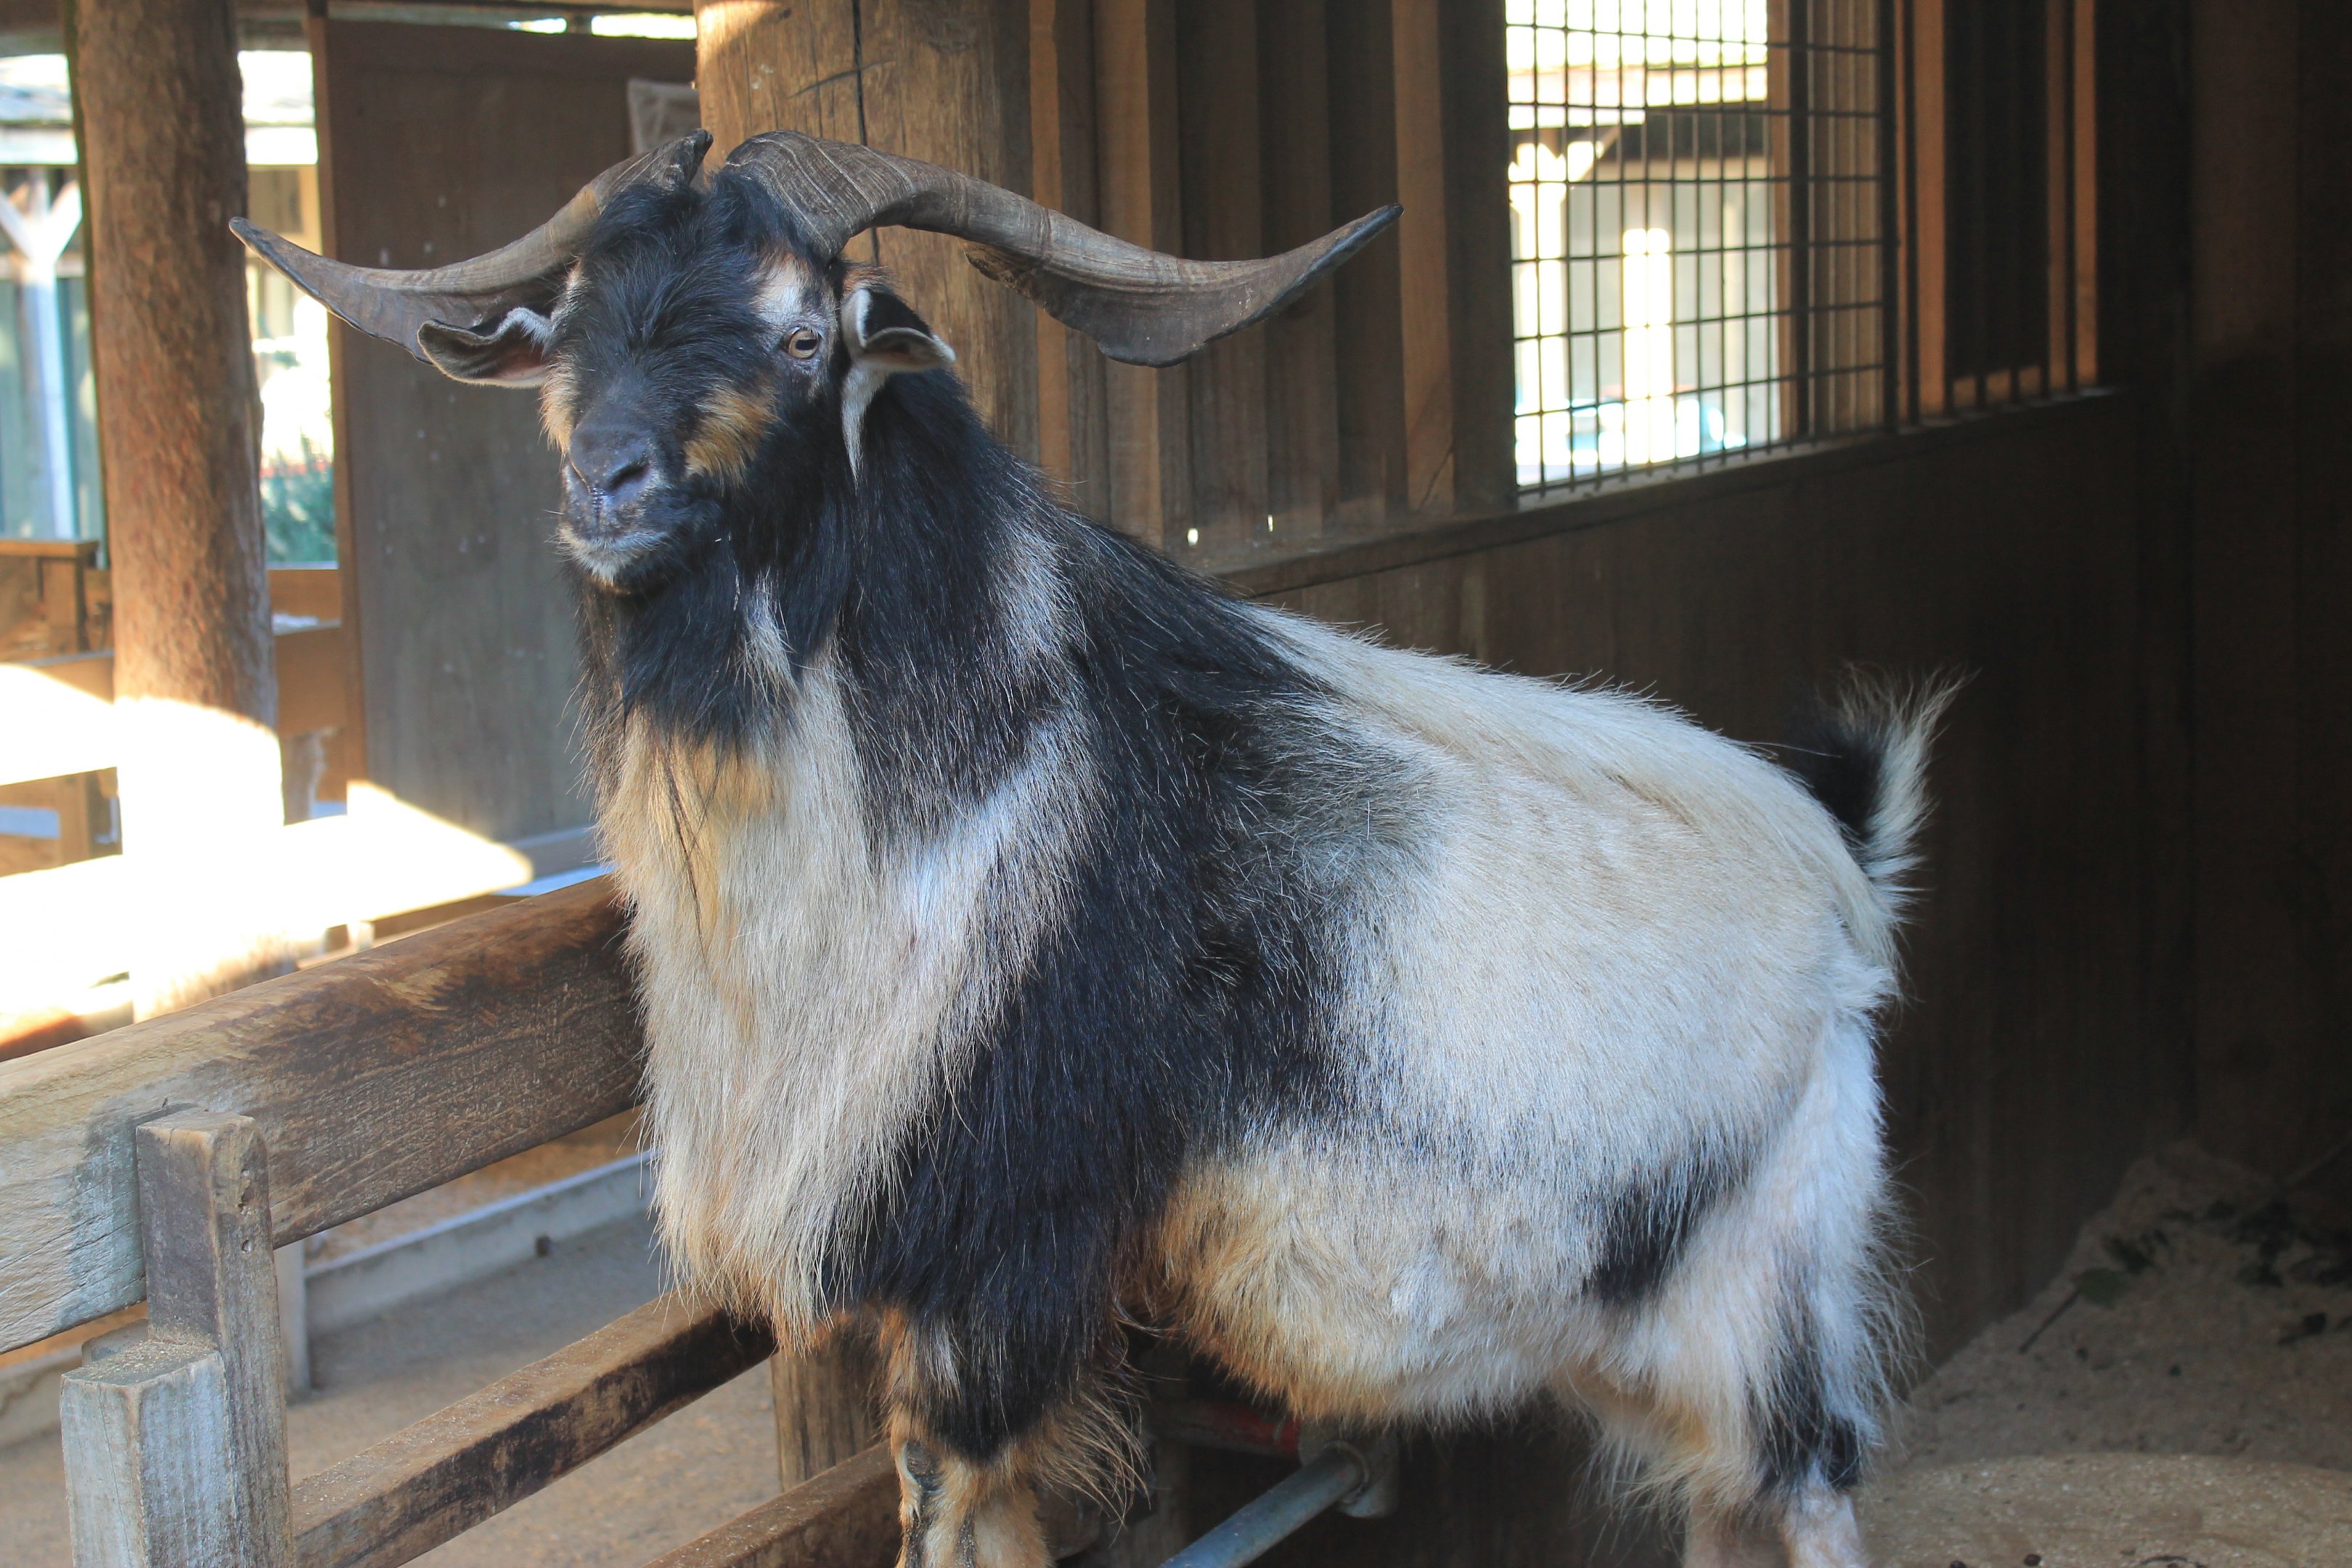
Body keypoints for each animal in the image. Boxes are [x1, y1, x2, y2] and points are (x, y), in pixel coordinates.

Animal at [239, 129, 1947, 1568]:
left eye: (803, 334)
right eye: (577, 327)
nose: (606, 484)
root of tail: (1842, 851)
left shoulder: (1004, 1262)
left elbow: (950, 1515)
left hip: (1774, 1294)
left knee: (1805, 1494)